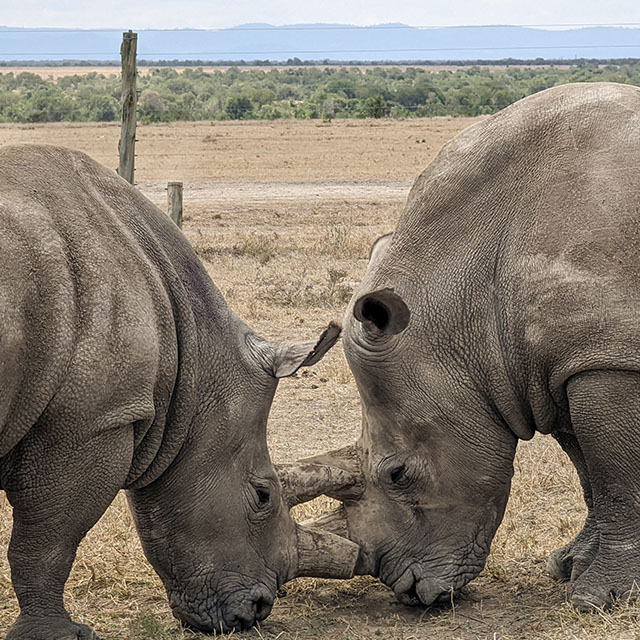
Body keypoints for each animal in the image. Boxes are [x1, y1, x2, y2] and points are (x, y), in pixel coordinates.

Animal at [0, 144, 358, 640]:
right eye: (263, 495)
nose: (257, 610)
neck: (193, 359)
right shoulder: (90, 421)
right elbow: (49, 538)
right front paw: (58, 635)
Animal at [279, 82, 640, 612]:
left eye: (398, 474)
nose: (410, 591)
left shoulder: (607, 357)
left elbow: (618, 476)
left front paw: (598, 599)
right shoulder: (560, 361)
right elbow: (588, 470)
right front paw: (567, 567)